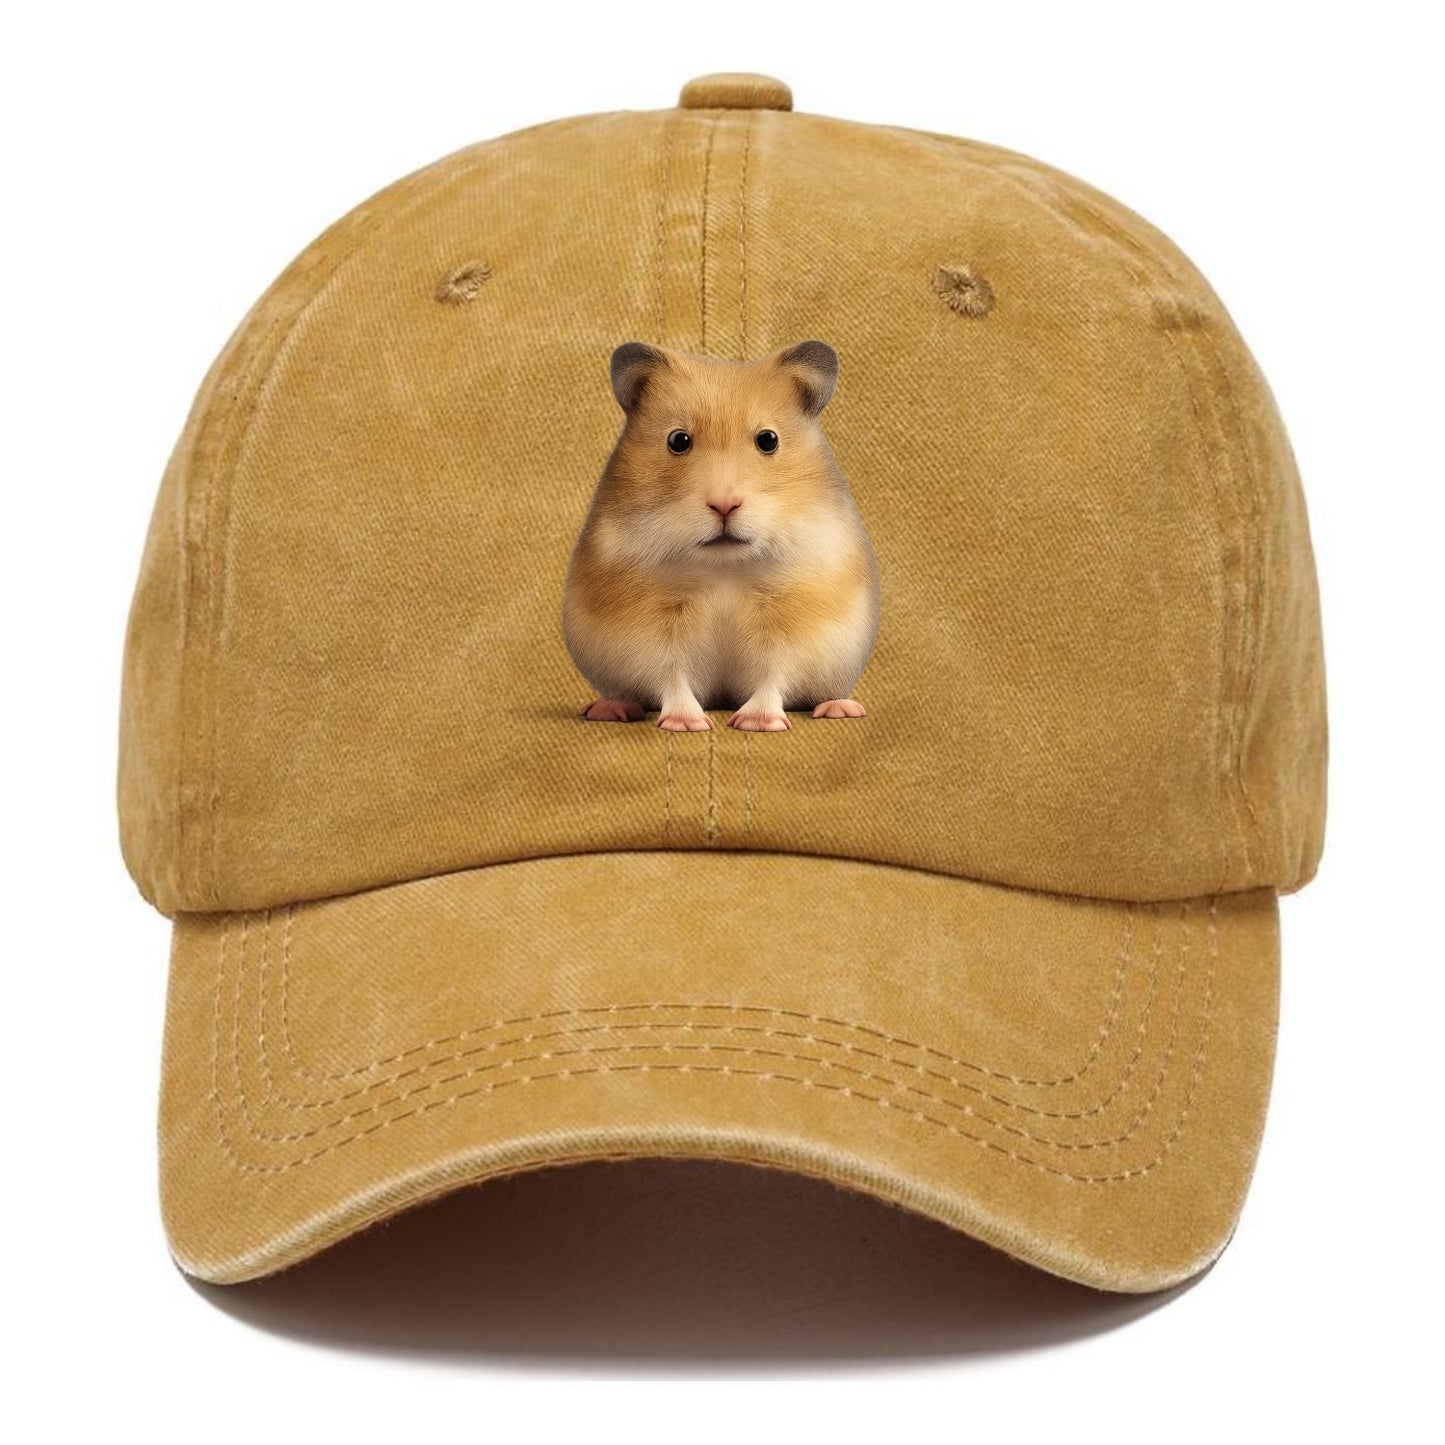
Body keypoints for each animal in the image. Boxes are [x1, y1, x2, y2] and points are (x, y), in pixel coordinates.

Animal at [562, 339, 880, 732]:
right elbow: (670, 675)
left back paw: (841, 708)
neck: (723, 567)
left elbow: (773, 674)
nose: (724, 504)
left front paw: (757, 723)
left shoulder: (791, 625)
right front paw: (687, 724)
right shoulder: (651, 632)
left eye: (768, 440)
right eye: (678, 440)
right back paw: (609, 709)